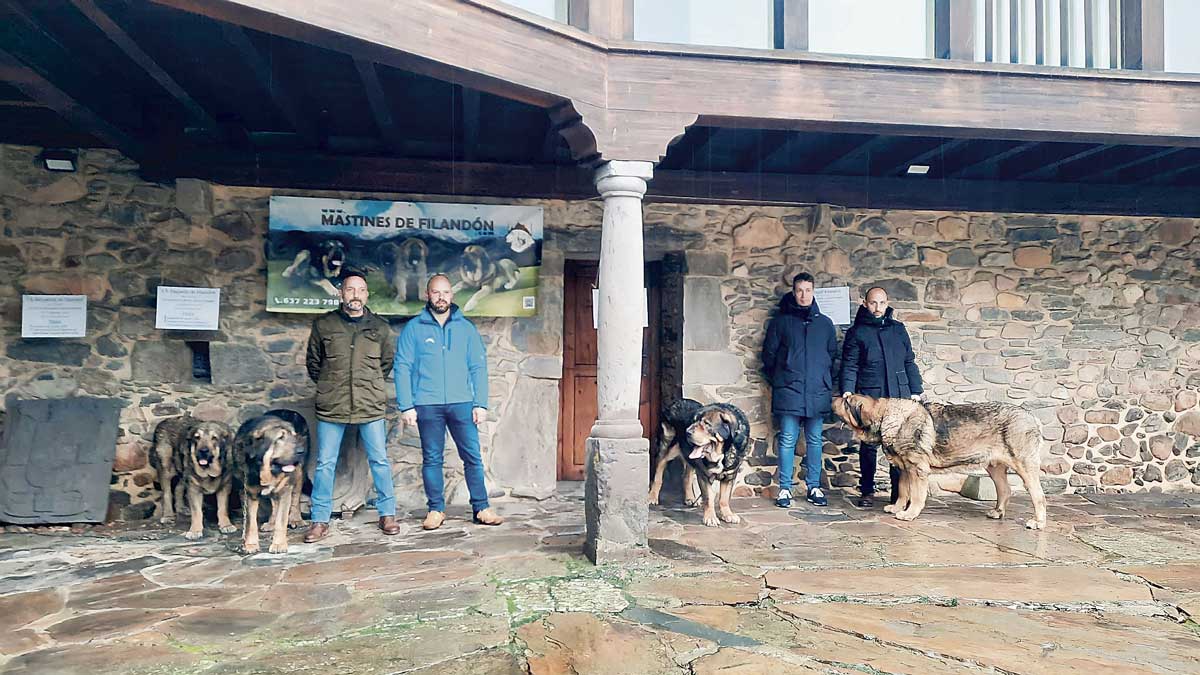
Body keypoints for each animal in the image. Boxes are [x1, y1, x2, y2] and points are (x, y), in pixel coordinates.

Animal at [232, 408, 309, 554]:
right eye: (280, 438)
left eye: (294, 436)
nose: (301, 450)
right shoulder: (249, 493)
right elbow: (250, 523)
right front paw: (250, 545)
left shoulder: (285, 490)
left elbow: (282, 520)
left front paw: (279, 544)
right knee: (274, 504)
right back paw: (271, 522)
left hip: (298, 474)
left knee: (295, 497)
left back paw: (296, 519)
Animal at [648, 398, 748, 526]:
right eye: (694, 421)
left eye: (706, 424)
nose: (687, 432)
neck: (721, 453)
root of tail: (677, 401)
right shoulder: (704, 475)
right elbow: (709, 498)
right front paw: (710, 517)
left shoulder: (730, 476)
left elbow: (724, 498)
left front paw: (727, 514)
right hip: (667, 447)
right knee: (658, 474)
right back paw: (652, 497)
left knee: (686, 477)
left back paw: (690, 498)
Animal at [830, 391, 1046, 528]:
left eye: (846, 401)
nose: (833, 396)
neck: (887, 417)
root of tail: (1032, 418)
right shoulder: (904, 468)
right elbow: (902, 491)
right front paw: (897, 508)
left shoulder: (917, 469)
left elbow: (916, 495)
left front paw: (909, 514)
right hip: (994, 466)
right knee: (1005, 489)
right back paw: (997, 512)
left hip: (1024, 465)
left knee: (1038, 495)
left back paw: (1038, 523)